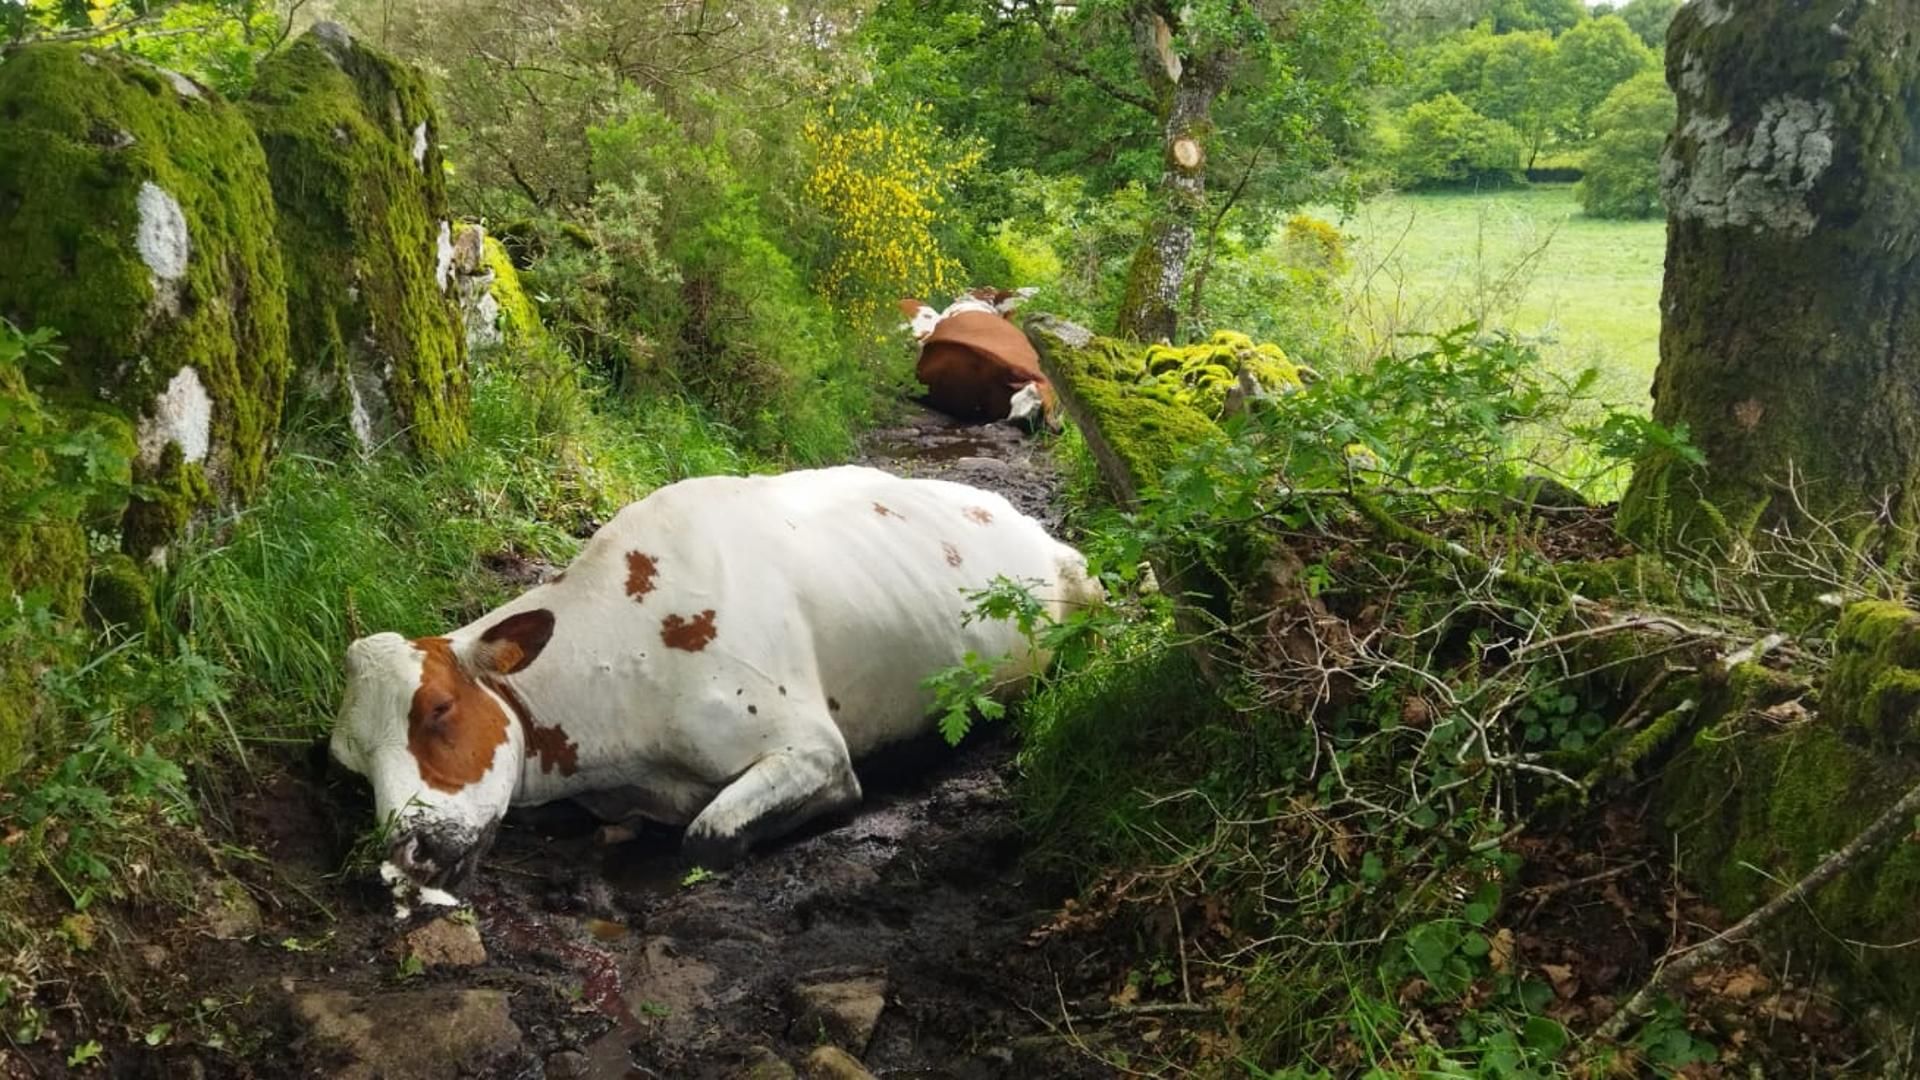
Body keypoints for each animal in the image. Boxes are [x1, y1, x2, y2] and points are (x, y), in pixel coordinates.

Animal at [328, 465, 1102, 899]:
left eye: (439, 707)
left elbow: (708, 836)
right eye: (349, 767)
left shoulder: (811, 746)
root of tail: (1013, 512)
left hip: (1087, 591)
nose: (406, 853)